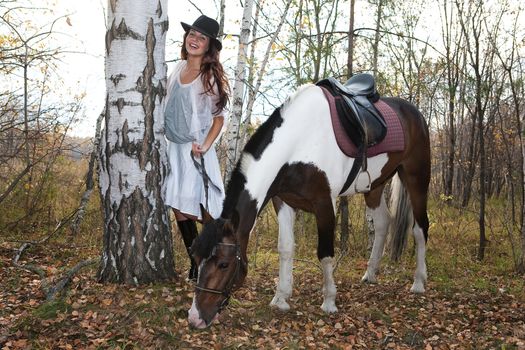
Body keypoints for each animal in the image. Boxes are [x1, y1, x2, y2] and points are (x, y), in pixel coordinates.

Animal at [186, 84, 428, 328]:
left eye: (224, 264)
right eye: (194, 256)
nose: (195, 318)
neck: (299, 142)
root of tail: (413, 112)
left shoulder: (324, 203)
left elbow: (325, 253)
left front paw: (329, 301)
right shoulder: (282, 201)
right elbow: (285, 248)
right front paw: (281, 297)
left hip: (416, 178)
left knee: (420, 228)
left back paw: (418, 282)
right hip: (374, 187)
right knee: (382, 223)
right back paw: (370, 274)